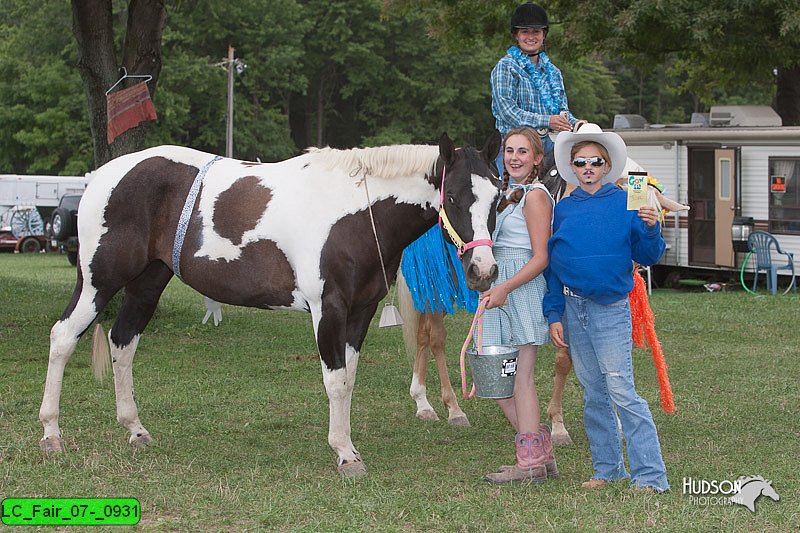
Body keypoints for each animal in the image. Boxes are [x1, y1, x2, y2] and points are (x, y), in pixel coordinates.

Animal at [39, 135, 500, 476]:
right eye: (453, 196)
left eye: (498, 197)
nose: (483, 269)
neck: (355, 212)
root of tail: (103, 176)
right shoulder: (329, 309)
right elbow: (335, 381)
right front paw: (345, 454)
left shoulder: (362, 311)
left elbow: (349, 379)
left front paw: (347, 444)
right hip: (98, 283)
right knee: (62, 338)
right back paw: (51, 434)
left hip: (147, 284)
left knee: (123, 341)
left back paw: (135, 429)